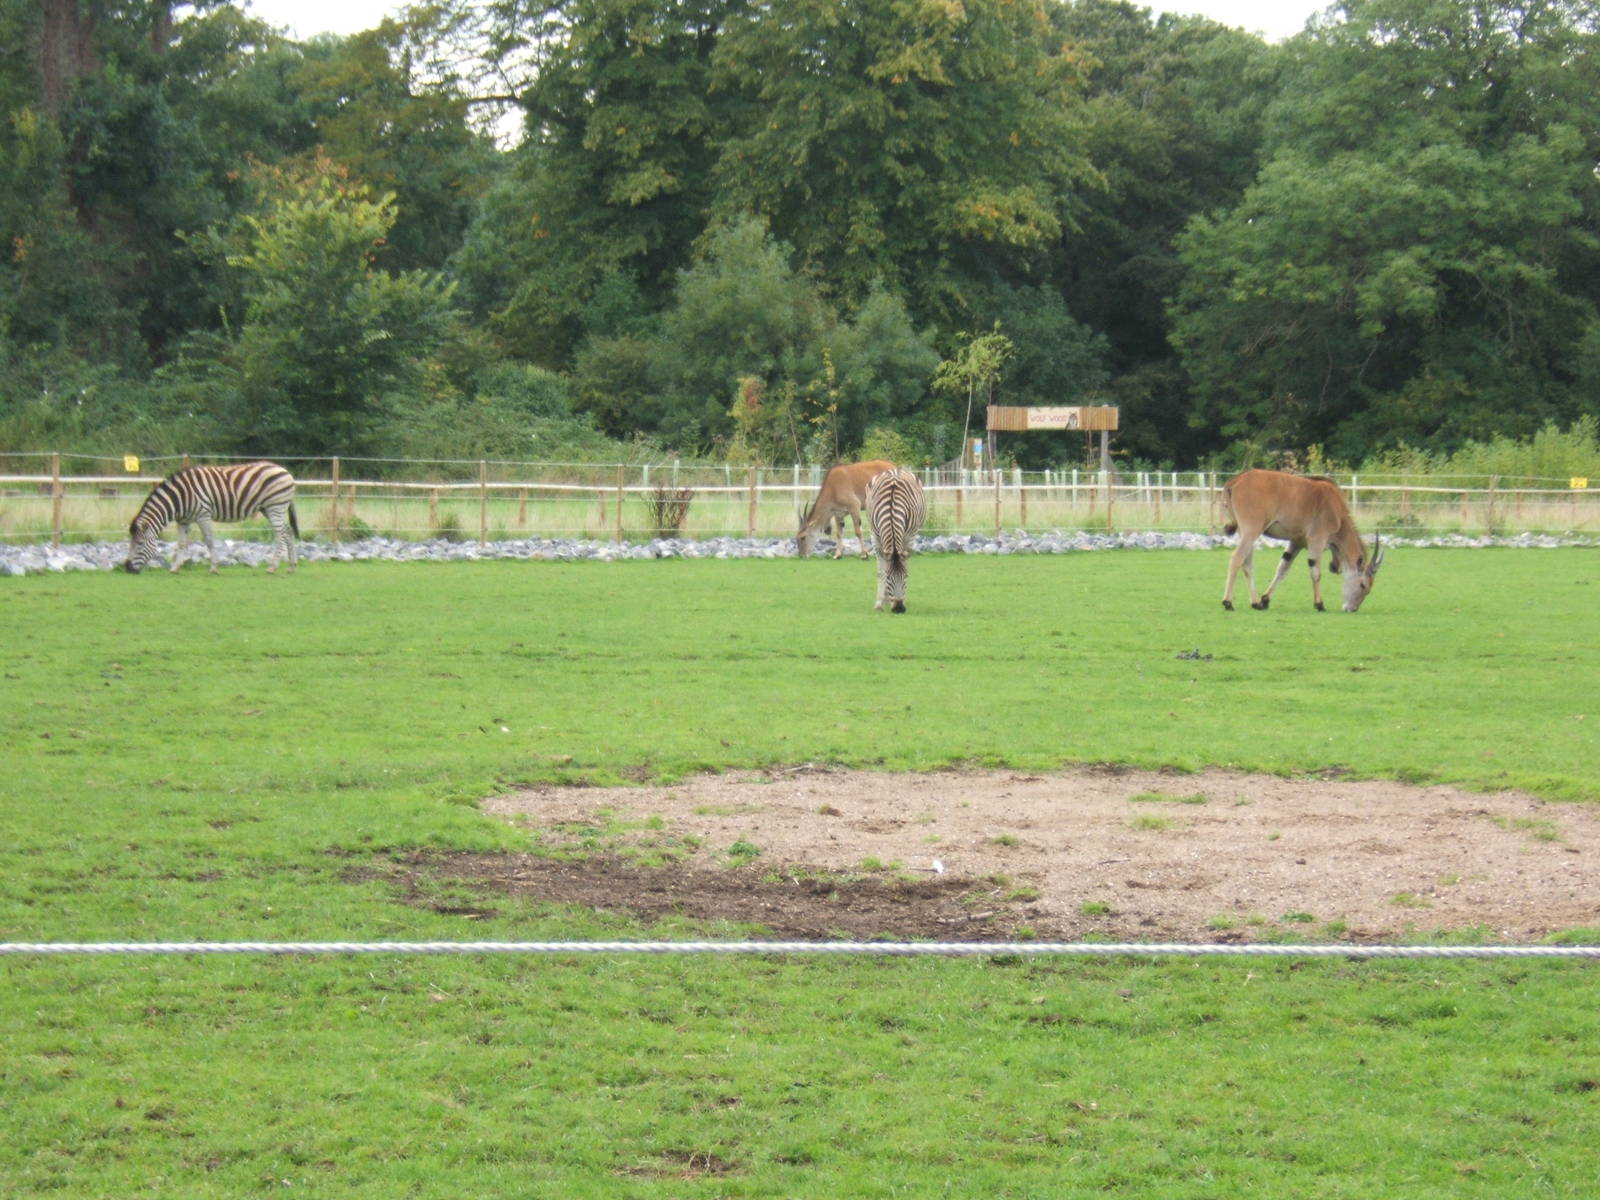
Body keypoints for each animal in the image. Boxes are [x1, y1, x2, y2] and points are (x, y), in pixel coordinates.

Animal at [124, 461, 301, 575]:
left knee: (279, 534)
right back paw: (291, 566)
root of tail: (285, 471)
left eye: (139, 544)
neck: (179, 498)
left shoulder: (203, 515)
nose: (127, 569)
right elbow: (181, 543)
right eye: (130, 543)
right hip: (269, 508)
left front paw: (214, 568)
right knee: (287, 531)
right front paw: (175, 568)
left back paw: (272, 567)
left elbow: (209, 540)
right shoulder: (183, 520)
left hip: (275, 506)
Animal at [865, 467, 926, 613]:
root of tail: (895, 469)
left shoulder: (909, 537)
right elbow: (880, 571)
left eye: (906, 577)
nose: (899, 609)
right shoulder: (875, 537)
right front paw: (879, 604)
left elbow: (905, 564)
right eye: (888, 578)